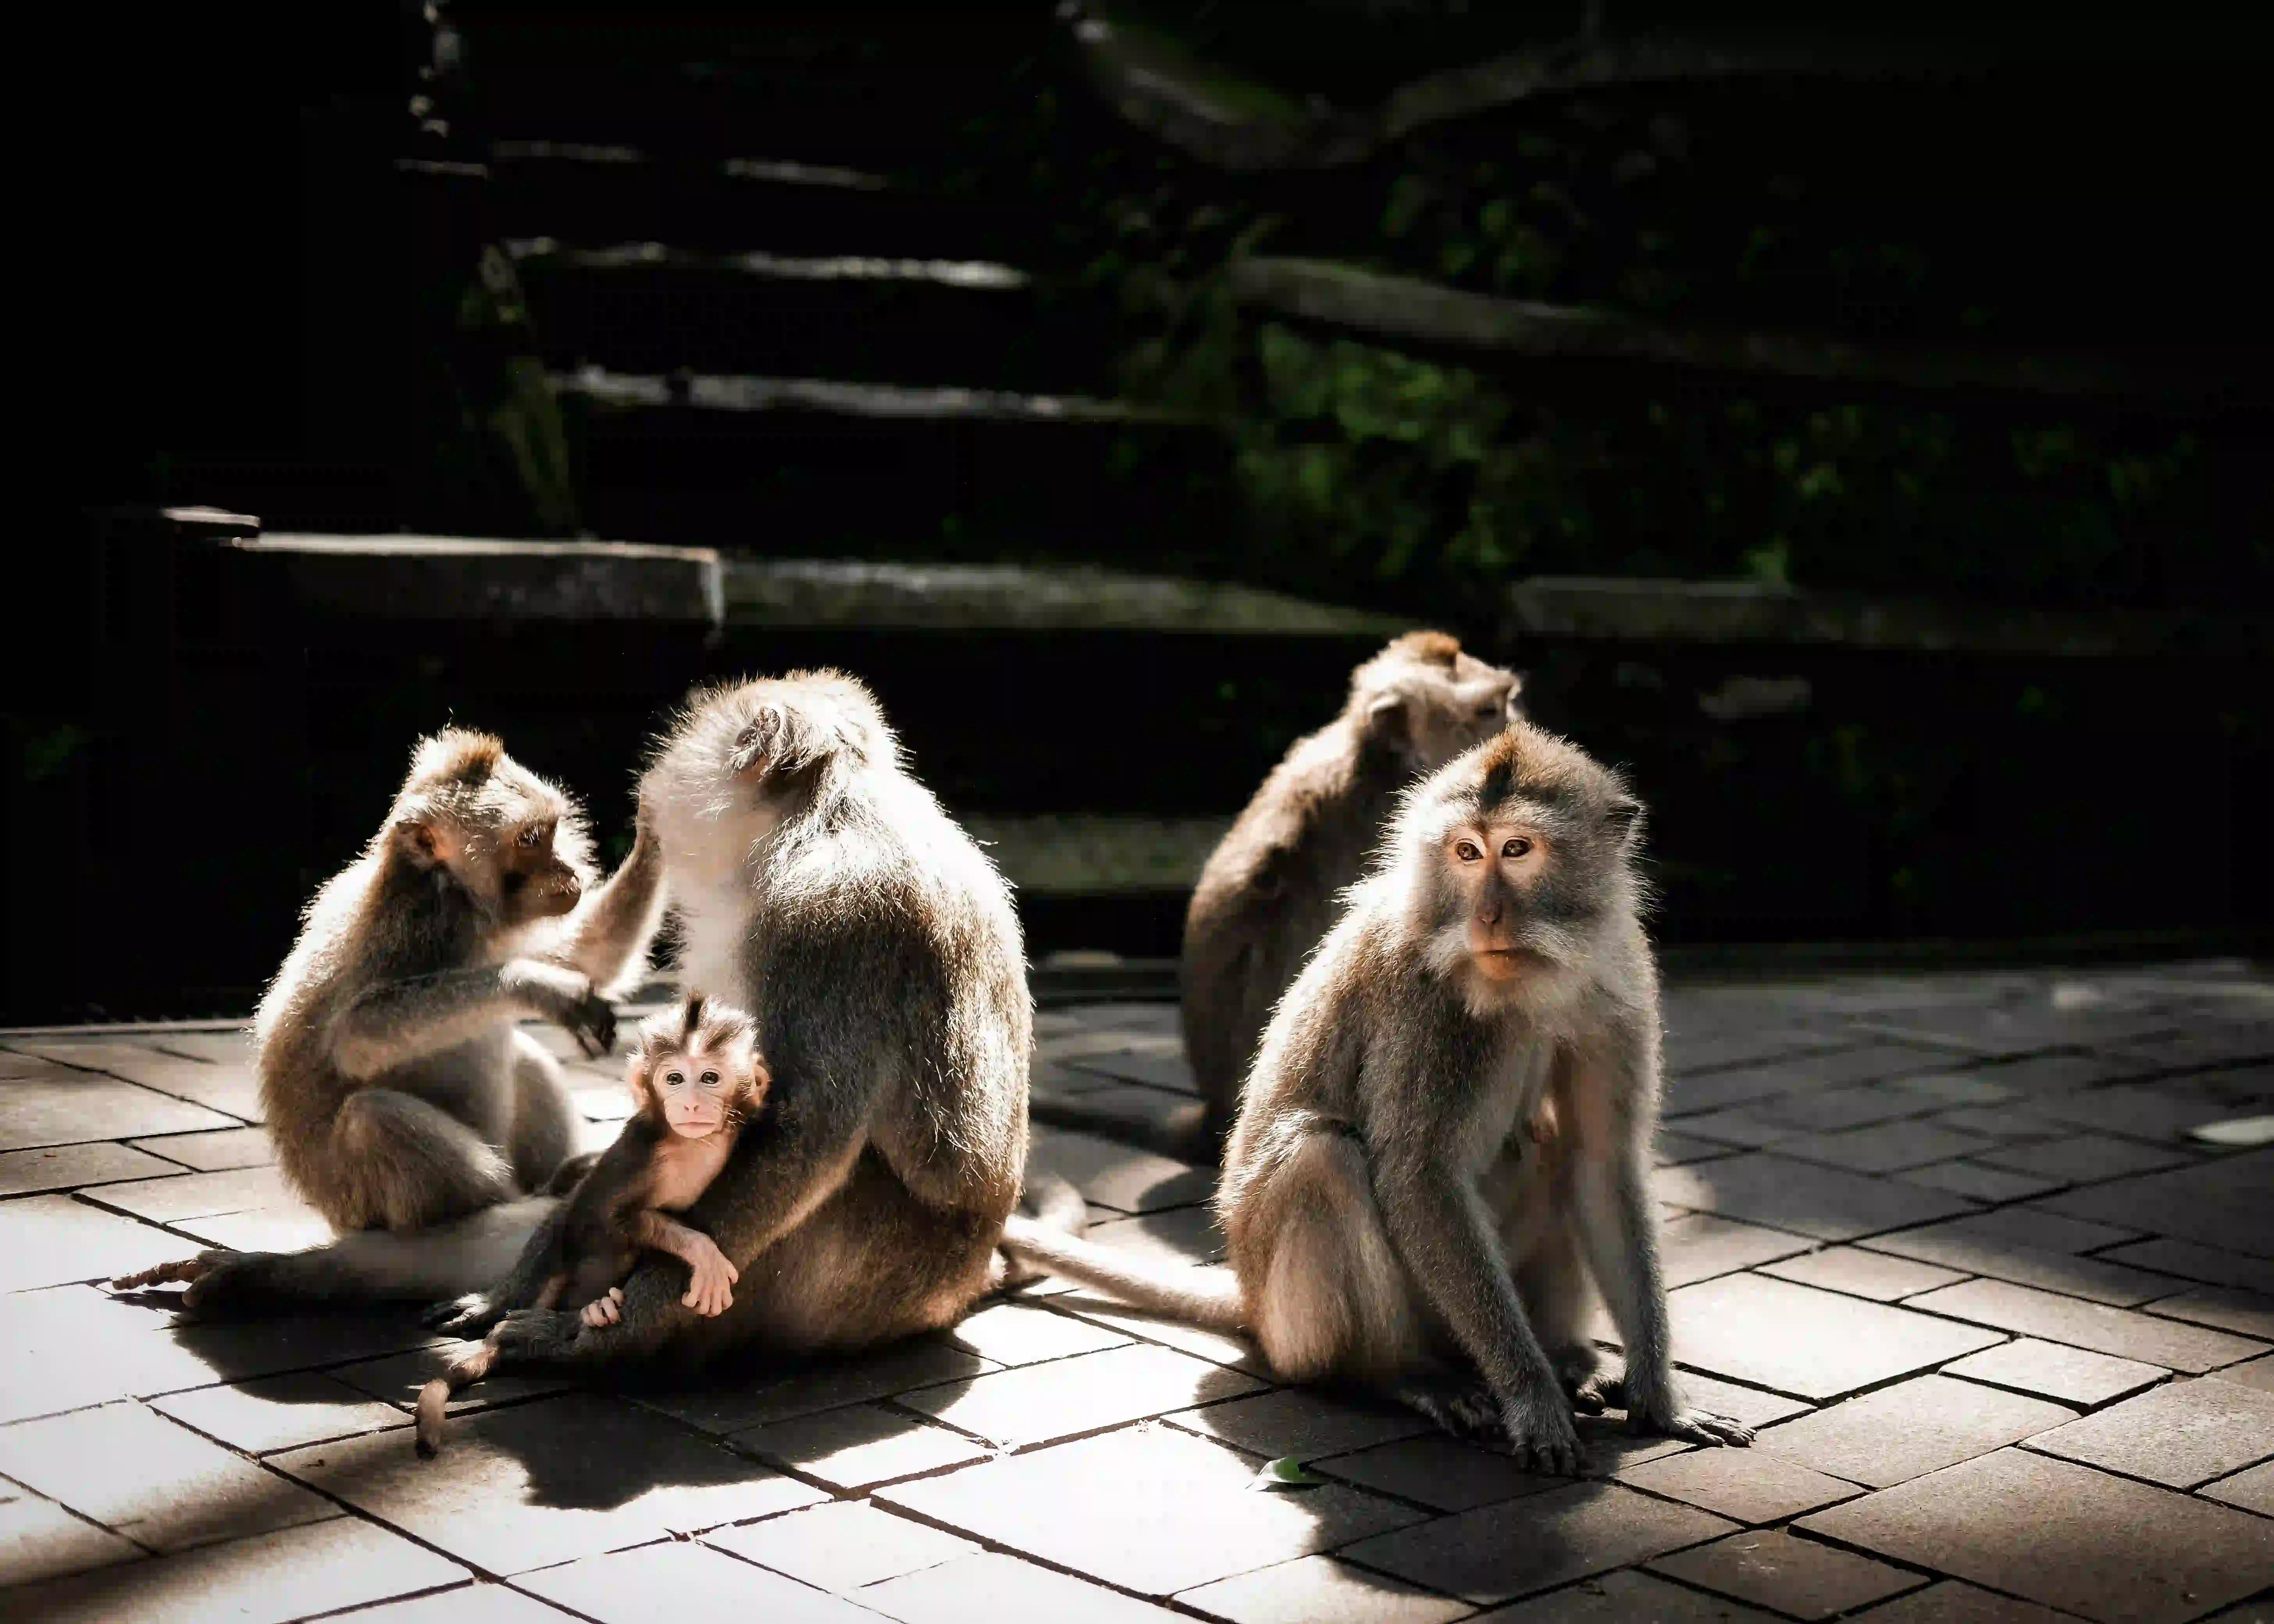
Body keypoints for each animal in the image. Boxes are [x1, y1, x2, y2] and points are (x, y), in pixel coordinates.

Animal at [255, 728, 667, 1235]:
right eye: (530, 840)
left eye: (550, 833)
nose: (568, 870)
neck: (455, 893)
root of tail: (336, 1217)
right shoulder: (416, 926)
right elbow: (356, 1036)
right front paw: (532, 984)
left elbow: (587, 956)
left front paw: (656, 824)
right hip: (362, 1204)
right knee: (369, 1118)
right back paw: (512, 1203)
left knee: (525, 1055)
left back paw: (560, 1177)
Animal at [414, 995, 770, 1453]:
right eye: (674, 1078)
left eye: (710, 1077)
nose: (691, 1104)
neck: (692, 1144)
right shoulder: (639, 1152)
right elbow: (601, 1215)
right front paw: (702, 1252)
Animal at [1000, 721, 1752, 1472]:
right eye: (1466, 852)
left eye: (1516, 849)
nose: (1486, 916)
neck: (1531, 982)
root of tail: (1249, 1296)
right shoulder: (1426, 1005)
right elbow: (1419, 1175)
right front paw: (1533, 1400)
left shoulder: (1617, 985)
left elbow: (1602, 1163)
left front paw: (1660, 1399)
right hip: (1304, 1322)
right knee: (1324, 1155)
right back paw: (1398, 1374)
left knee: (1553, 1145)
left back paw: (1568, 1359)